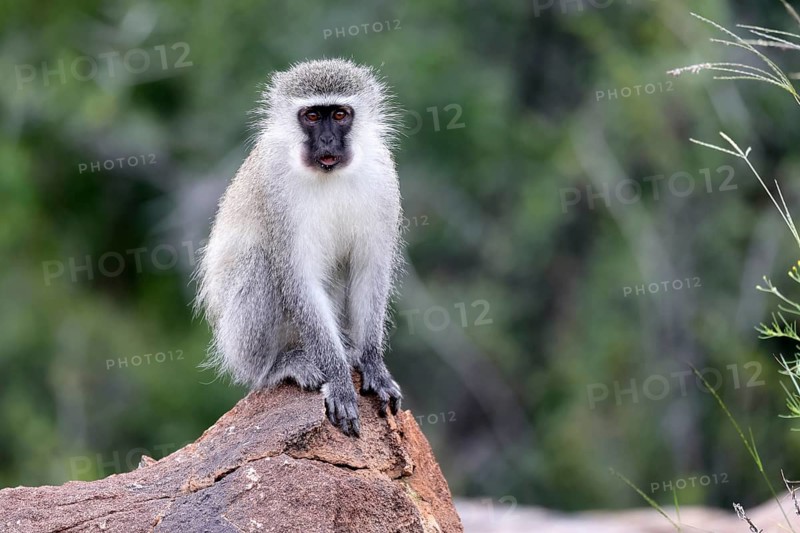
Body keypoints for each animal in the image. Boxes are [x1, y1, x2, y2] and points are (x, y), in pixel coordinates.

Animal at [195, 58, 403, 437]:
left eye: (339, 115)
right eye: (312, 116)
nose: (326, 140)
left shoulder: (383, 177)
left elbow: (369, 269)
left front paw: (372, 363)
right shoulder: (276, 189)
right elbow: (297, 279)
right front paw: (338, 379)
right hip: (238, 342)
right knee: (259, 263)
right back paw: (277, 366)